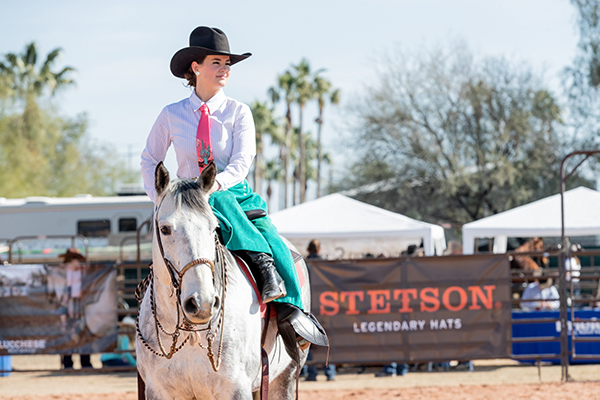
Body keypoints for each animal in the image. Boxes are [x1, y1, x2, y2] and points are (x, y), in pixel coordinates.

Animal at [136, 162, 310, 400]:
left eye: (214, 228)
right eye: (165, 229)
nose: (203, 303)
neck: (191, 334)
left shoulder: (236, 389)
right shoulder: (158, 390)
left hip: (286, 377)